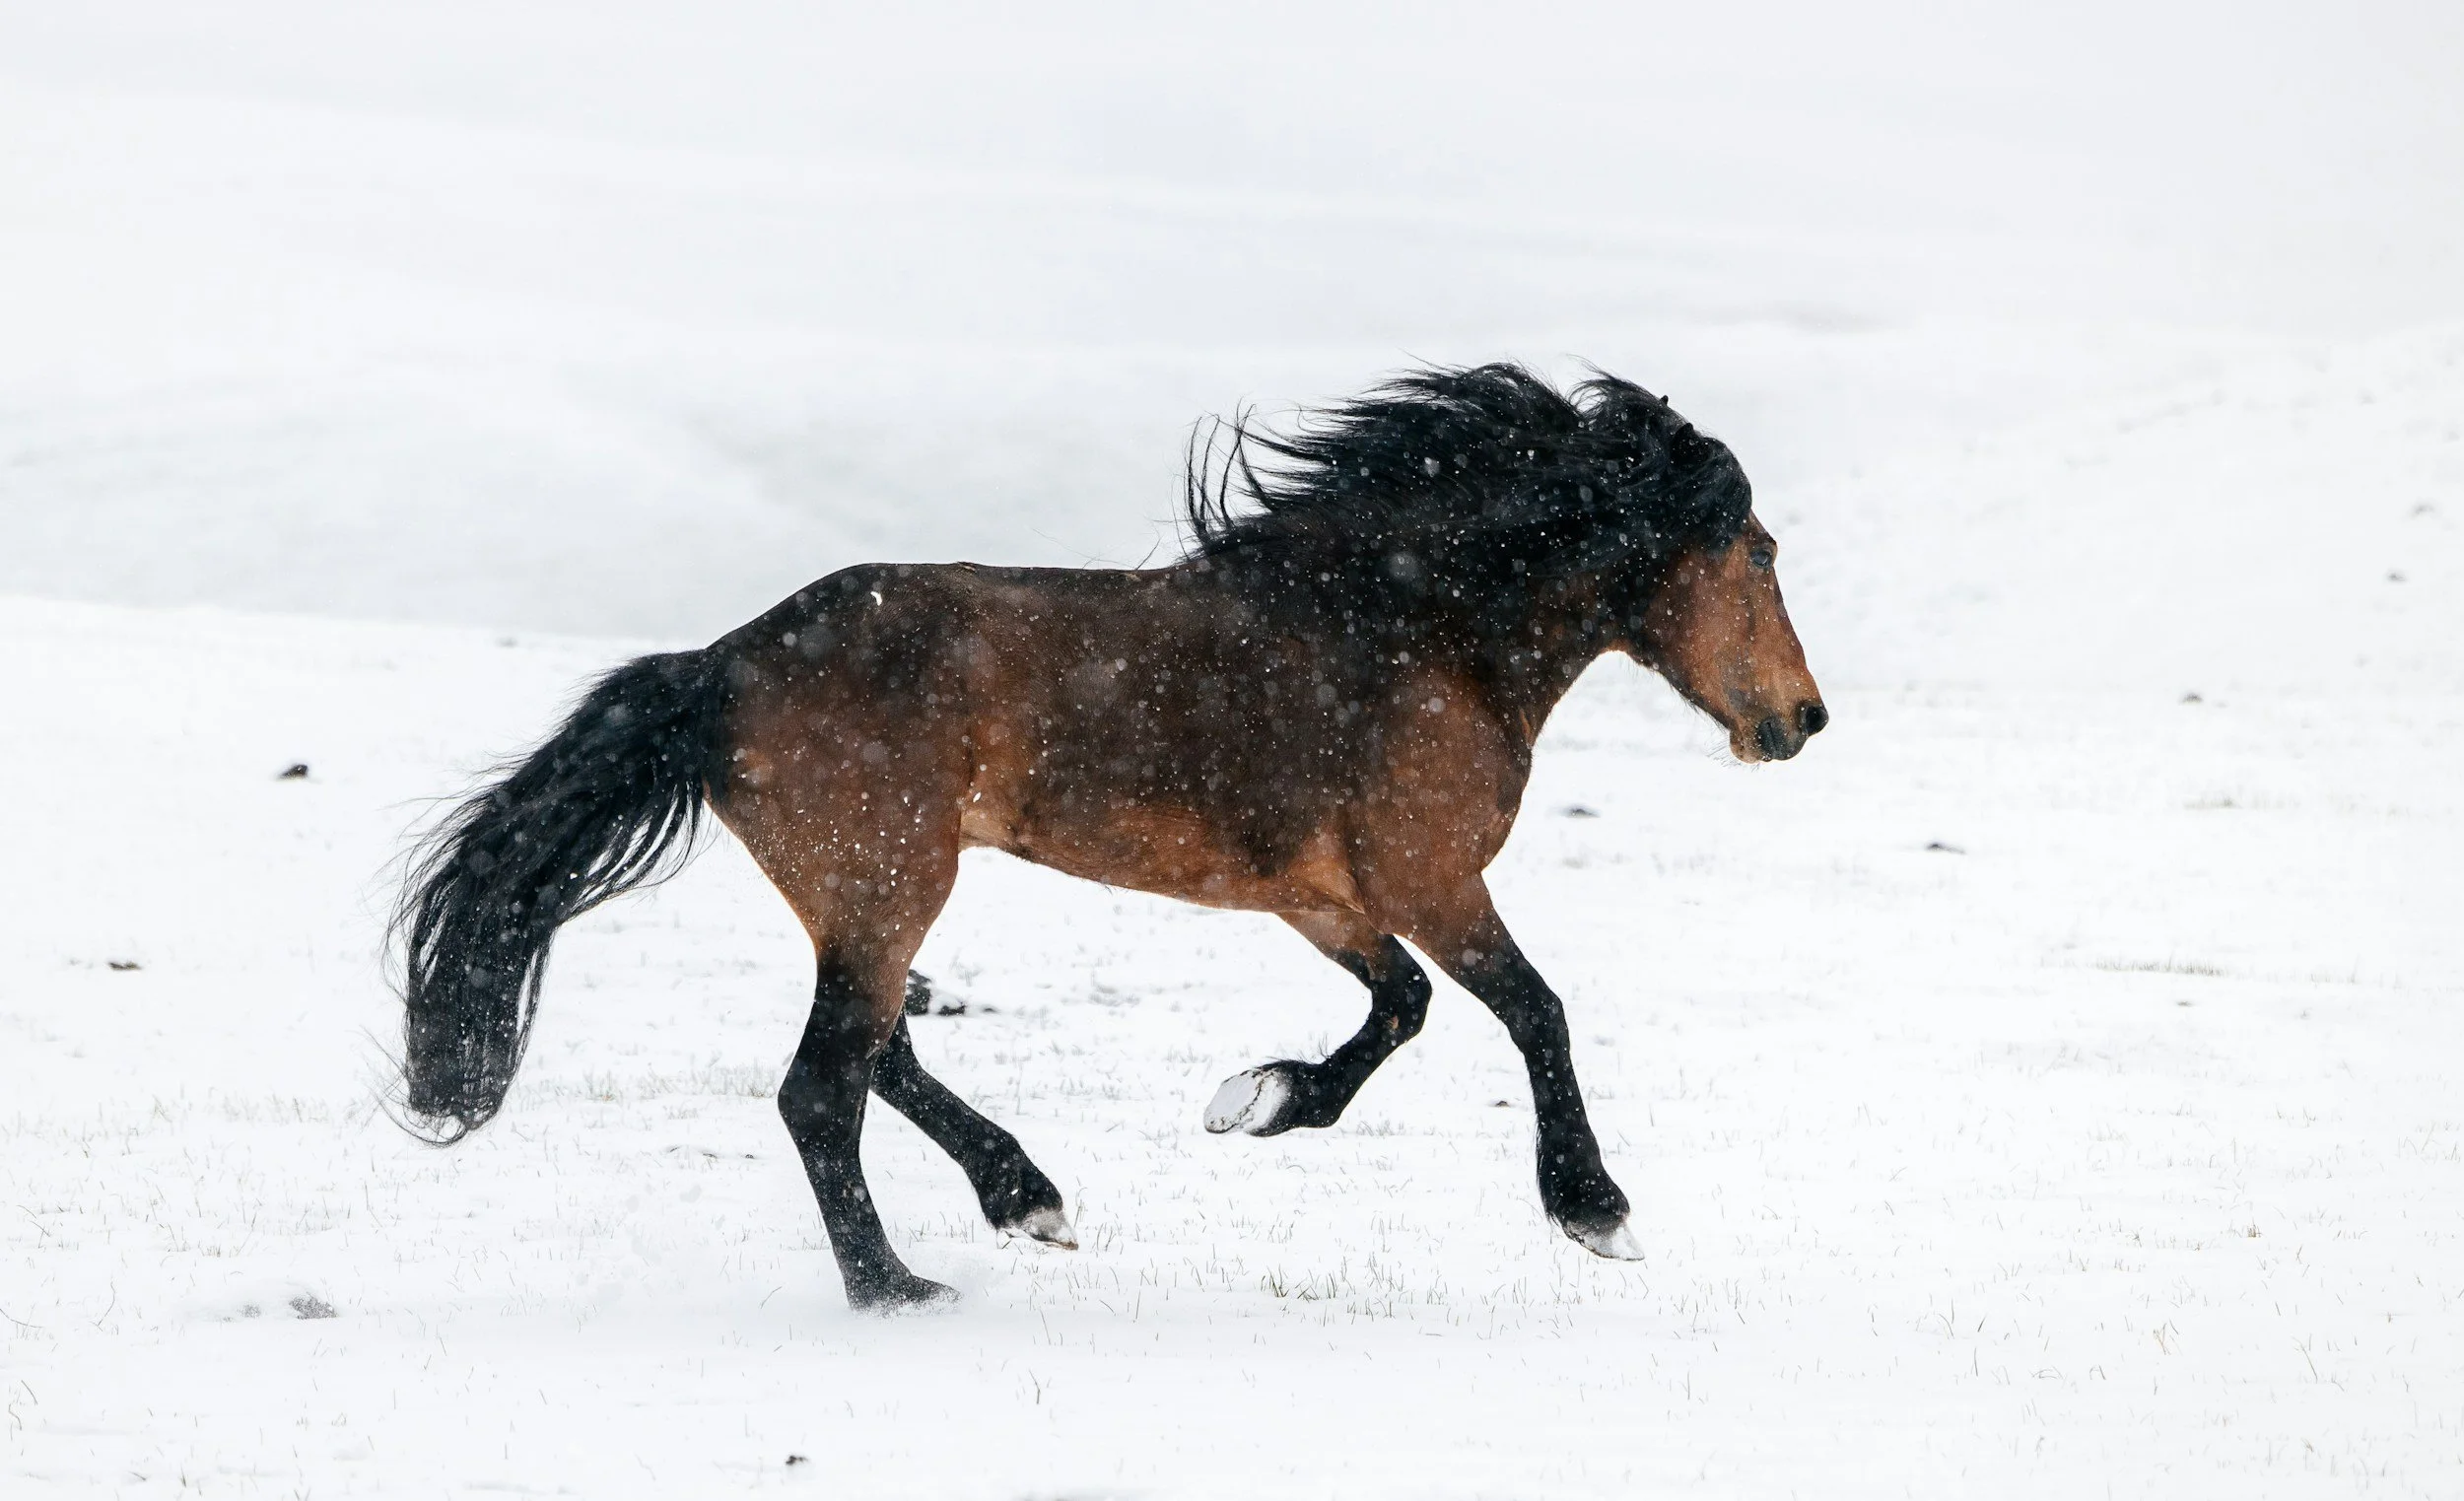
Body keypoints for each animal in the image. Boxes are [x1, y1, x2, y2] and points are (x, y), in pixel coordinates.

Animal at [394, 363, 1826, 1311]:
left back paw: (1025, 1198)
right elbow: (1534, 1009)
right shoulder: (1431, 877)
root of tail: (716, 670)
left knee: (882, 1051)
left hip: (866, 900)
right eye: (1756, 551)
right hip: (894, 883)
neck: (1416, 631)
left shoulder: (1327, 894)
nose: (1803, 720)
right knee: (821, 1085)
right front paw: (1597, 1211)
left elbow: (1403, 1008)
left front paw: (1262, 1100)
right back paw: (896, 1285)